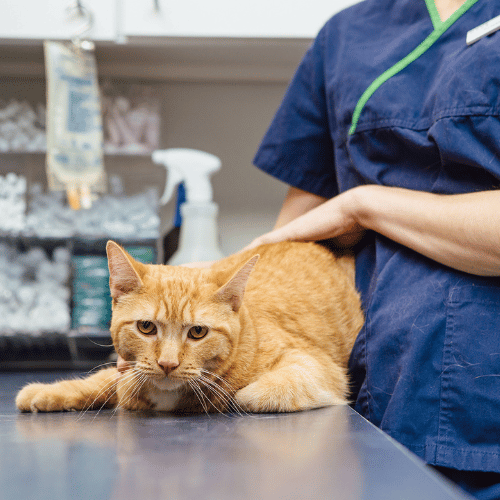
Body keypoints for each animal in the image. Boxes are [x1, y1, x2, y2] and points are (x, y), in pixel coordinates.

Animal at [15, 241, 362, 414]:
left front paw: (233, 396)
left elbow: (260, 392)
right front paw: (49, 392)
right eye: (146, 327)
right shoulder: (127, 371)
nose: (168, 364)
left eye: (198, 332)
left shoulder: (318, 366)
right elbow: (102, 381)